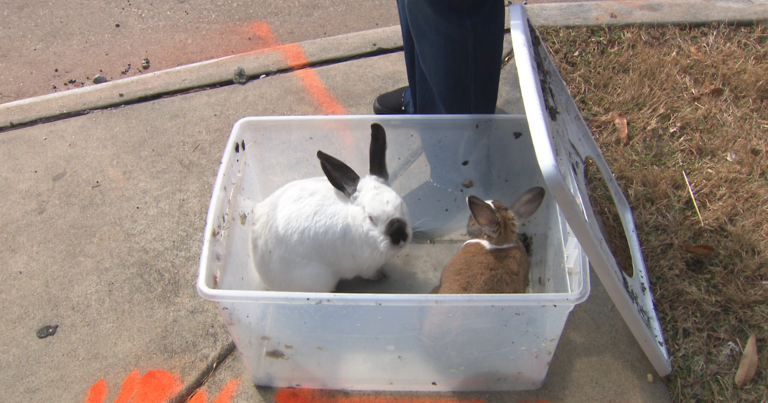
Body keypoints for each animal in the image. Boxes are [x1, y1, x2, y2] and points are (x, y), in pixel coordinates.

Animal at [250, 123, 412, 292]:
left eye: (401, 203)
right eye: (371, 218)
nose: (399, 234)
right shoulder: (365, 268)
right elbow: (371, 273)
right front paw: (381, 275)